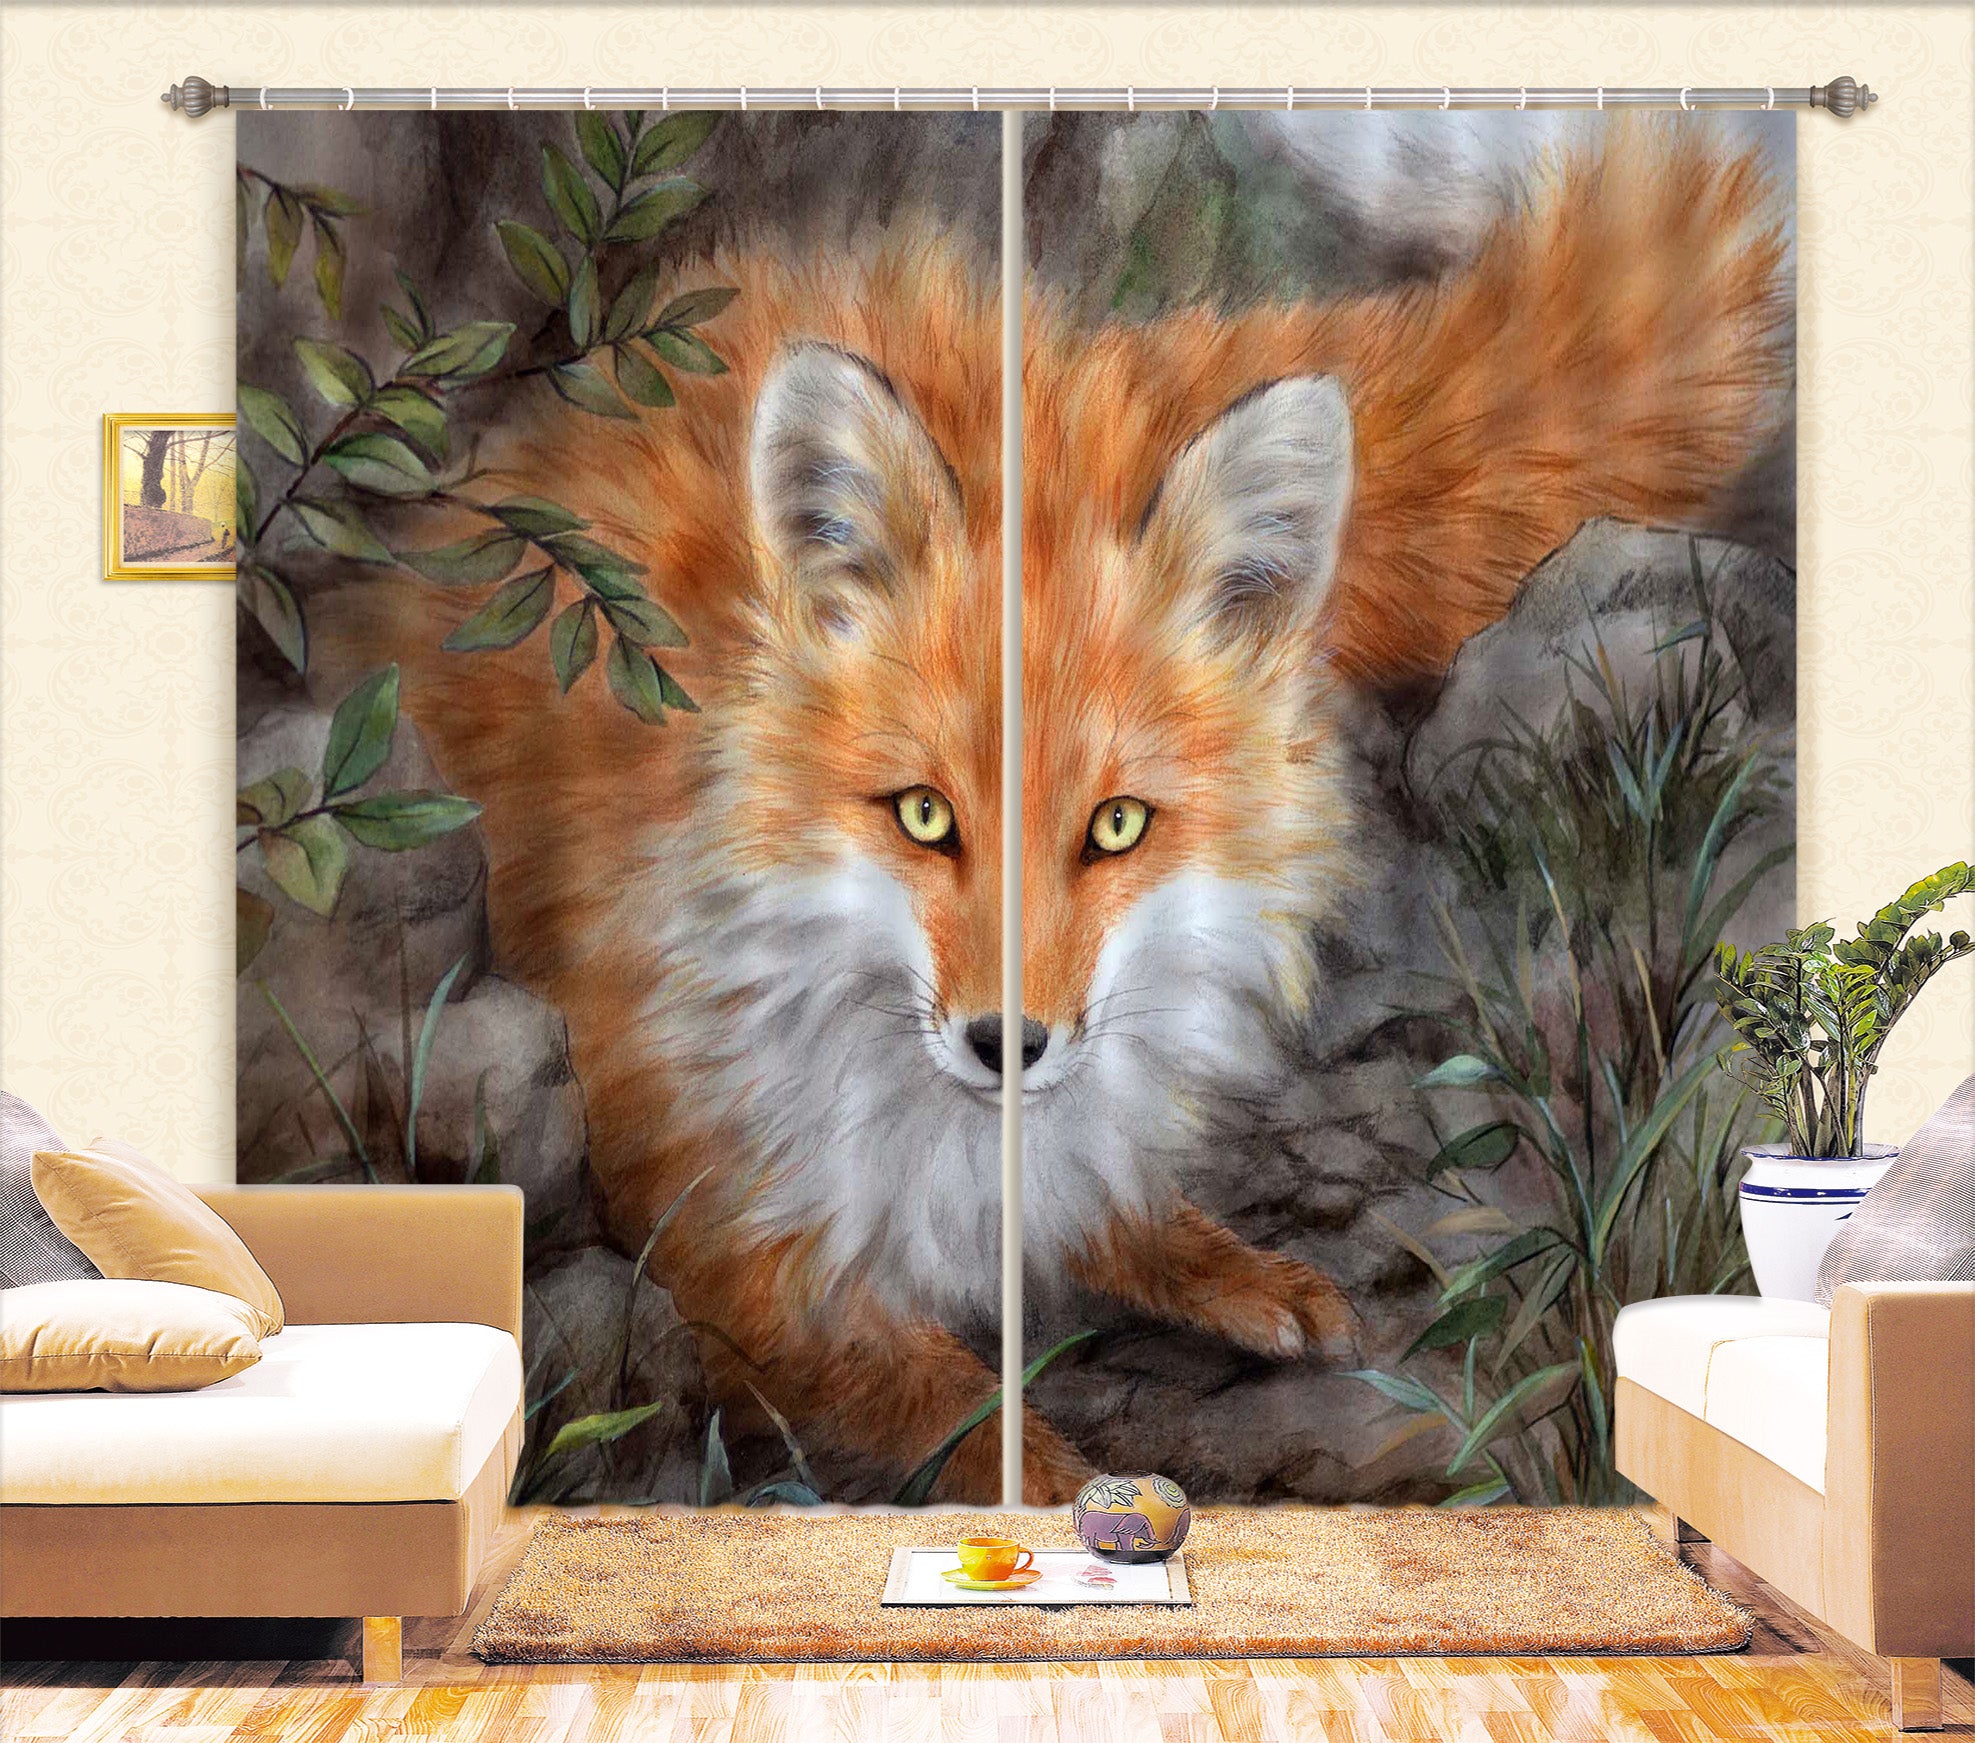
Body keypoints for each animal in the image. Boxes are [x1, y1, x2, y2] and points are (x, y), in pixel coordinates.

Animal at [321, 120, 1790, 1502]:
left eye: (1117, 827)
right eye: (921, 816)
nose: (1005, 1043)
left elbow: (1100, 1206)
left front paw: (1208, 1258)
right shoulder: (720, 1231)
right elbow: (956, 1409)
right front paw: (1068, 1490)